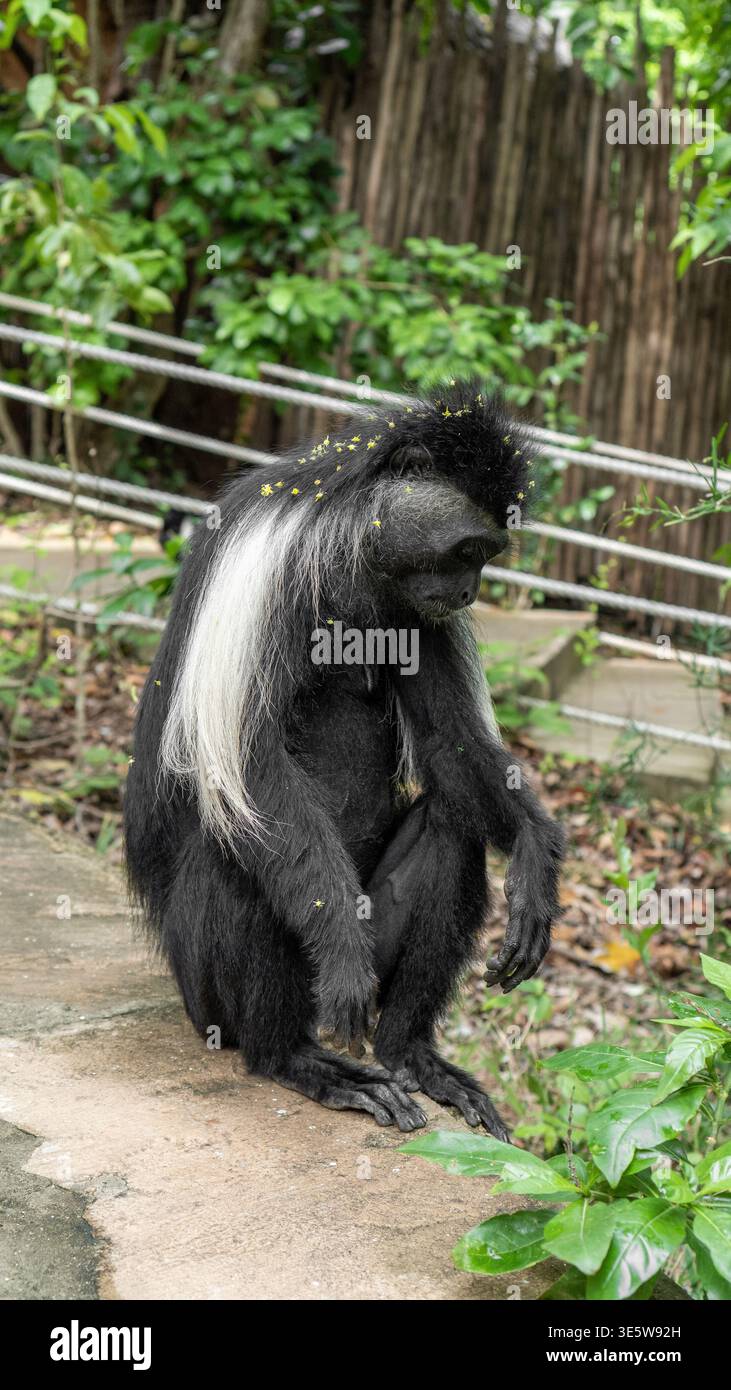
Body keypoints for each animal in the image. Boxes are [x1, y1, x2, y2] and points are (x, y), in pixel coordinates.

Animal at [124, 382, 566, 1138]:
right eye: (469, 548)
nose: (470, 590)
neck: (355, 546)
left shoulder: (419, 610)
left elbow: (449, 744)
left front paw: (536, 856)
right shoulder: (268, 571)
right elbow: (253, 765)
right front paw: (339, 950)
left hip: (380, 923)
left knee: (452, 822)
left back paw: (409, 1054)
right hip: (209, 987)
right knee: (236, 845)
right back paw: (300, 1061)